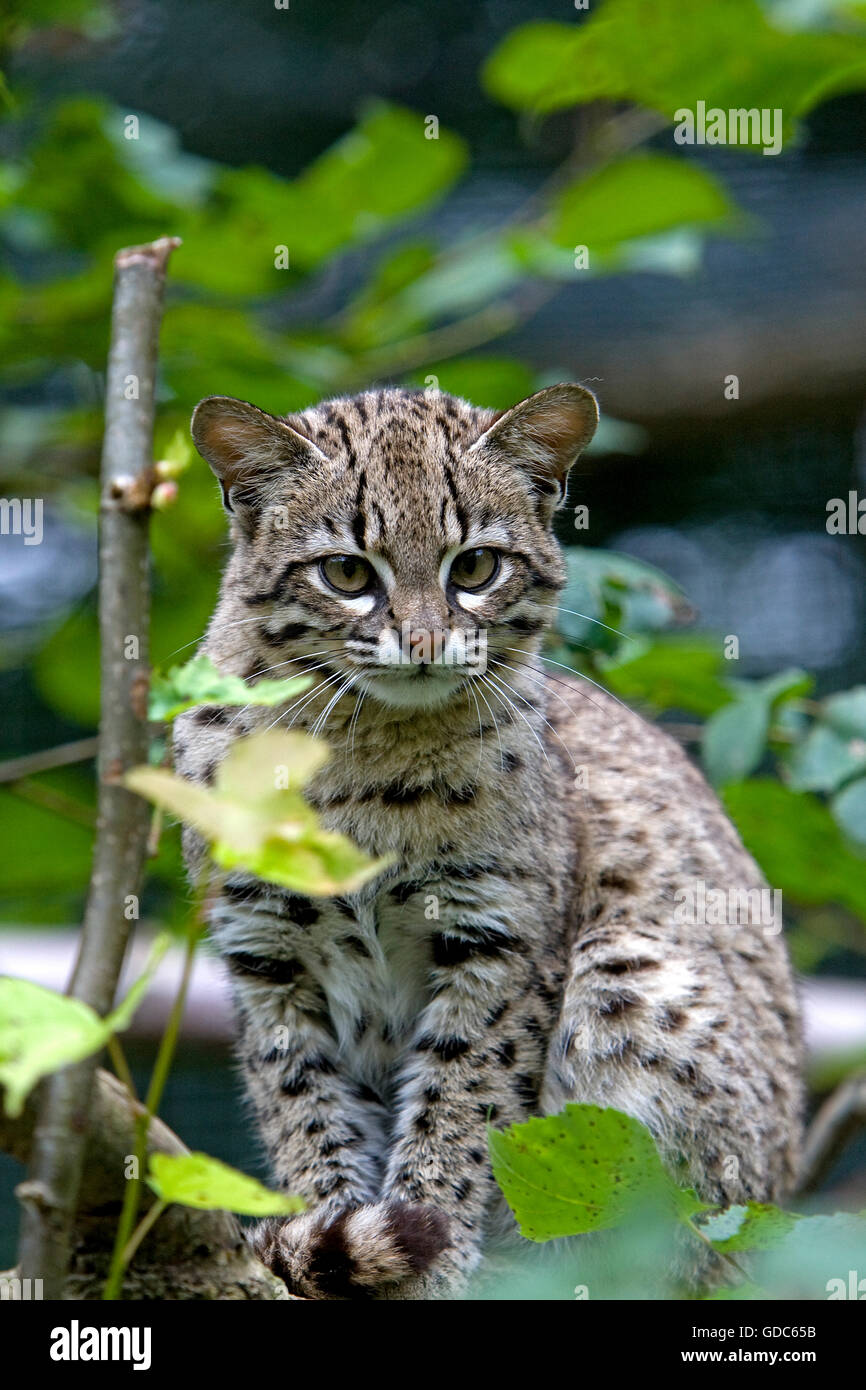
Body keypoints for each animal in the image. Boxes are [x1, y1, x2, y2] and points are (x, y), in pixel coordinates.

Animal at [173, 383, 800, 1301]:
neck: (366, 751)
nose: (425, 644)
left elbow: (462, 1103)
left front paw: (431, 1251)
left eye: (473, 568)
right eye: (347, 573)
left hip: (626, 970)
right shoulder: (267, 958)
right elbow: (303, 1109)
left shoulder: (499, 941)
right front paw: (332, 1232)